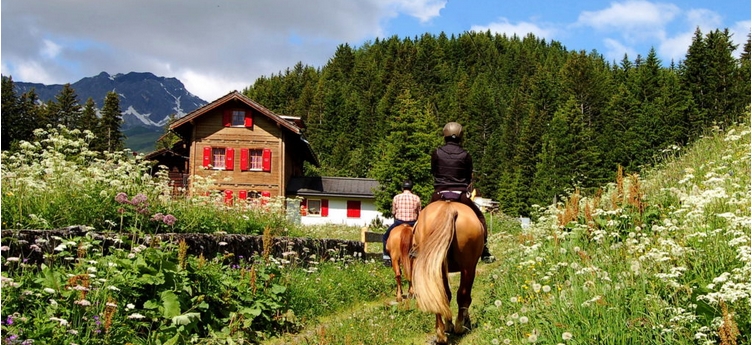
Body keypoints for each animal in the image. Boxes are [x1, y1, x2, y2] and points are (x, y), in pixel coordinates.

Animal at [408, 200, 484, 342]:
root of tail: (449, 207)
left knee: (439, 294)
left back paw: (441, 333)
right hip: (468, 267)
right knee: (463, 295)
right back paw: (459, 326)